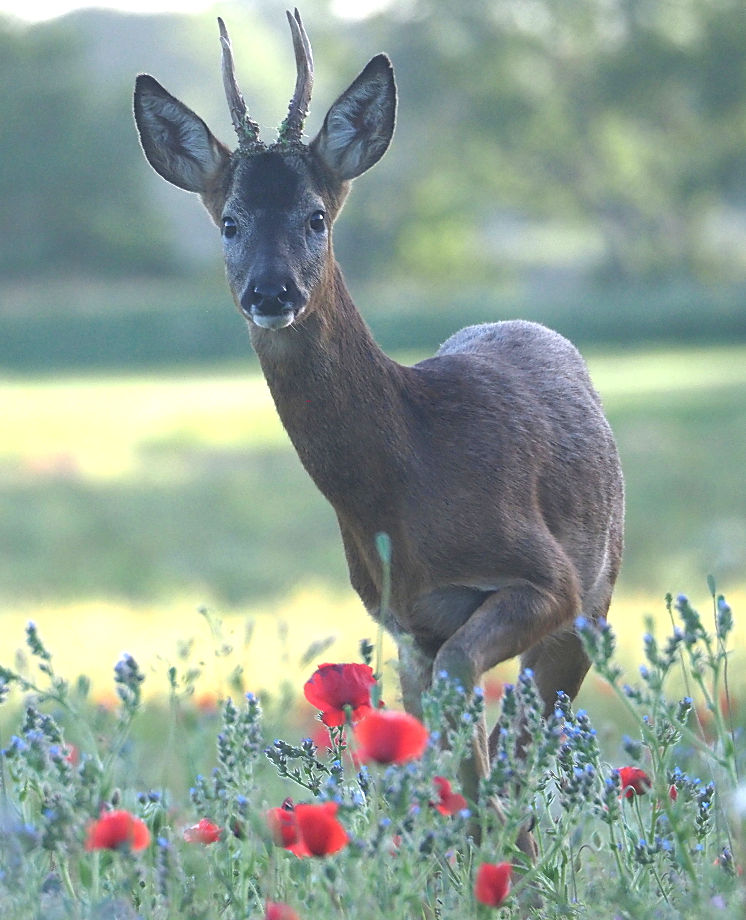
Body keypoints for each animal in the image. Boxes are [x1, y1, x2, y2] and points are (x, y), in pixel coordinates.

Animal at [132, 7, 620, 852]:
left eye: (316, 216)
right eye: (228, 221)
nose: (271, 291)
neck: (408, 480)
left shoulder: (547, 578)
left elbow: (474, 716)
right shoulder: (402, 622)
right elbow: (447, 746)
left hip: (597, 593)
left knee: (529, 729)